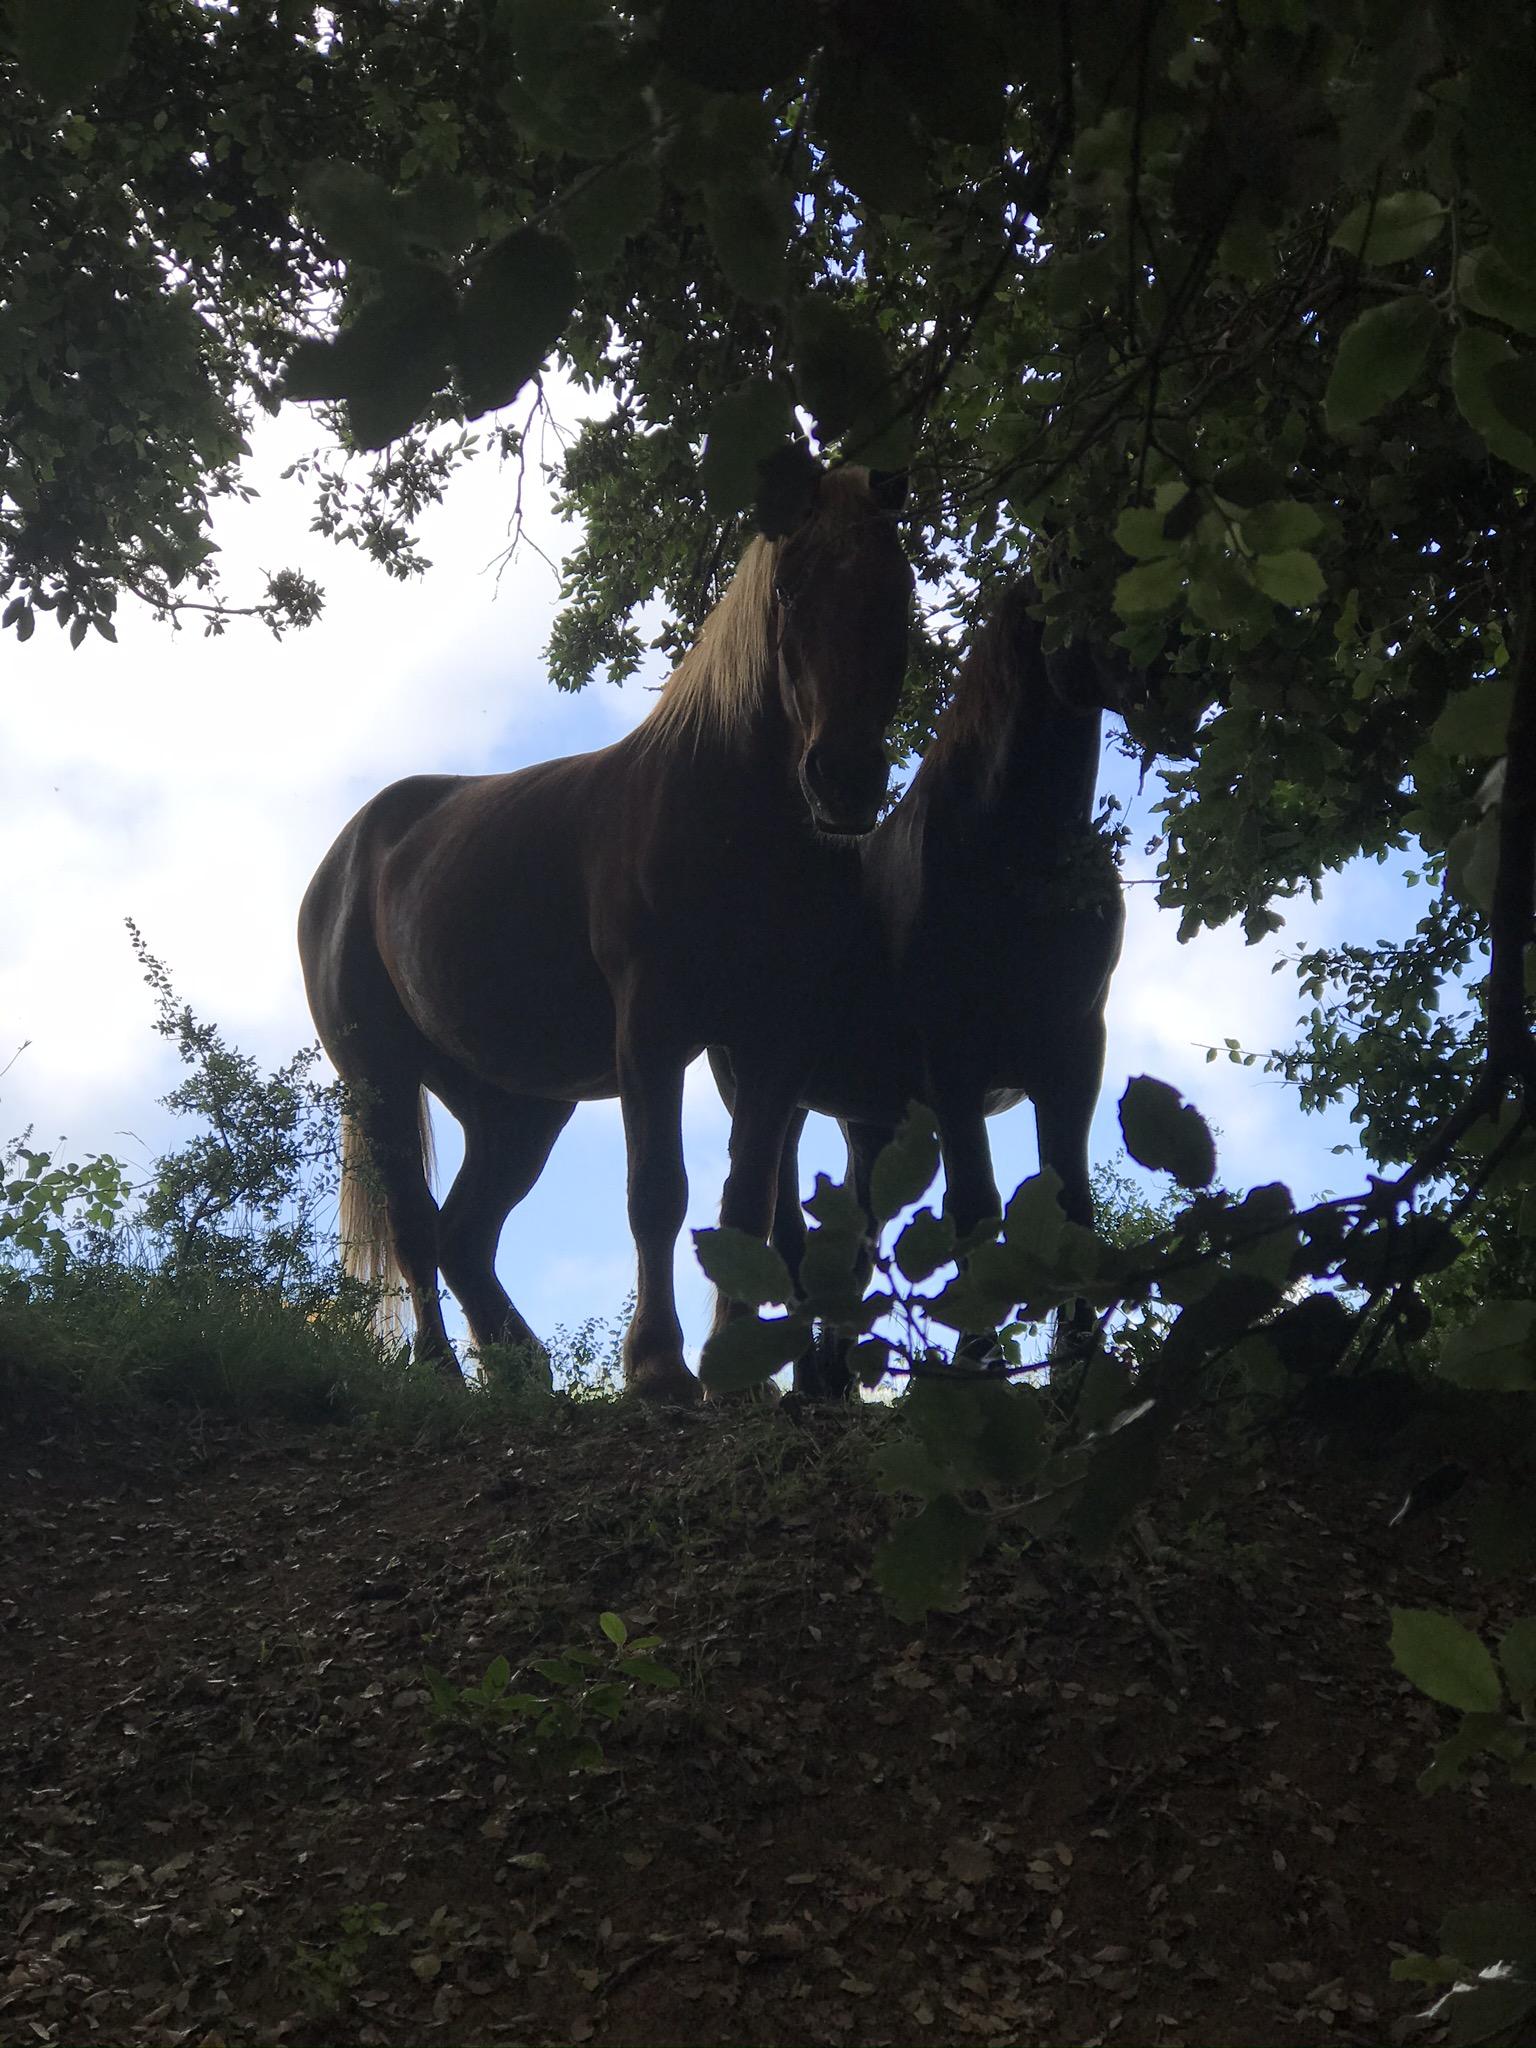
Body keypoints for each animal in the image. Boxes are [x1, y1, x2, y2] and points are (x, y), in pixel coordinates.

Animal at [296, 464, 913, 1392]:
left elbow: (748, 1202)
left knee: (464, 1235)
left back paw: (522, 1372)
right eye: (791, 589)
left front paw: (735, 1369)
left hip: (517, 1110)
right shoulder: (651, 1030)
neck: (730, 819)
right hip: (383, 1079)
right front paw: (658, 1368)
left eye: (898, 586)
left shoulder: (773, 1042)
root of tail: (344, 859)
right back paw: (442, 1376)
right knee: (414, 1228)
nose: (843, 779)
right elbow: (657, 1192)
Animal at [720, 577, 1130, 1392]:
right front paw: (979, 1357)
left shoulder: (1074, 1056)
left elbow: (1072, 1204)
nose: (1174, 673)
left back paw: (832, 1376)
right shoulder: (953, 1064)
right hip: (770, 1096)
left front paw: (1077, 1365)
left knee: (851, 1237)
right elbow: (975, 1207)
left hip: (870, 1120)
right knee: (786, 1234)